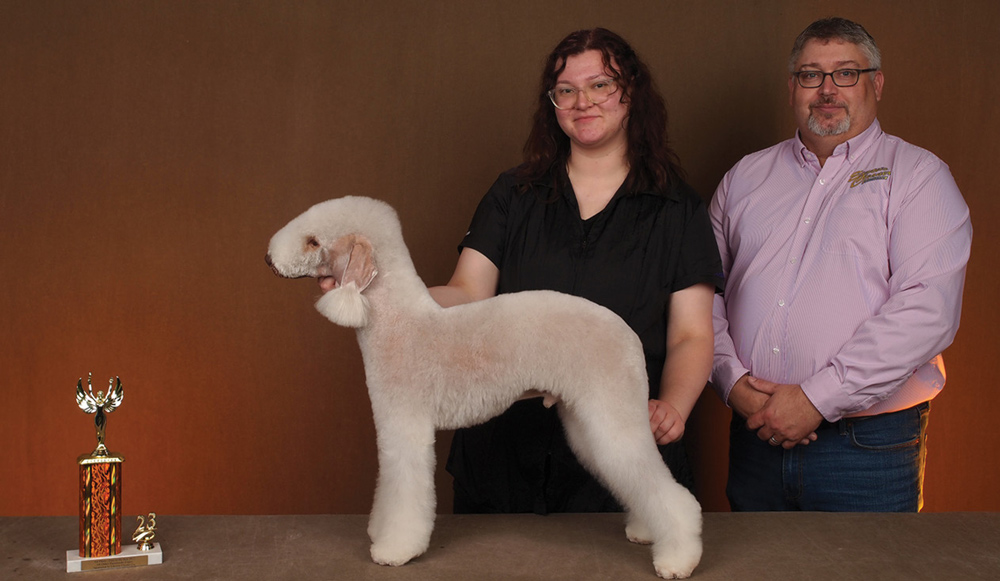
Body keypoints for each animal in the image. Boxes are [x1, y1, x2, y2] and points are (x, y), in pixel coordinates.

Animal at [266, 195, 704, 576]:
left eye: (313, 240)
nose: (269, 259)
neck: (397, 321)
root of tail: (629, 336)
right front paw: (378, 530)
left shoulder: (405, 426)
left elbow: (404, 490)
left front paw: (394, 548)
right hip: (586, 420)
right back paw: (647, 532)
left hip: (612, 410)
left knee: (666, 489)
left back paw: (678, 558)